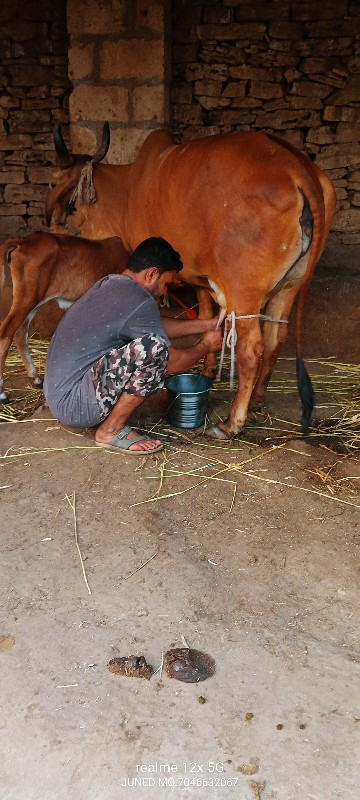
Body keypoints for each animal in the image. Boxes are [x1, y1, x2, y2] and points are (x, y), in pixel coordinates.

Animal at [46, 124, 336, 438]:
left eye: (55, 186)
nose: (50, 228)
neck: (128, 188)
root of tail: (298, 167)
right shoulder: (201, 278)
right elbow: (207, 314)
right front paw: (208, 367)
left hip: (244, 292)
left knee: (251, 350)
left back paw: (232, 423)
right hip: (291, 286)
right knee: (276, 338)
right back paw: (258, 400)